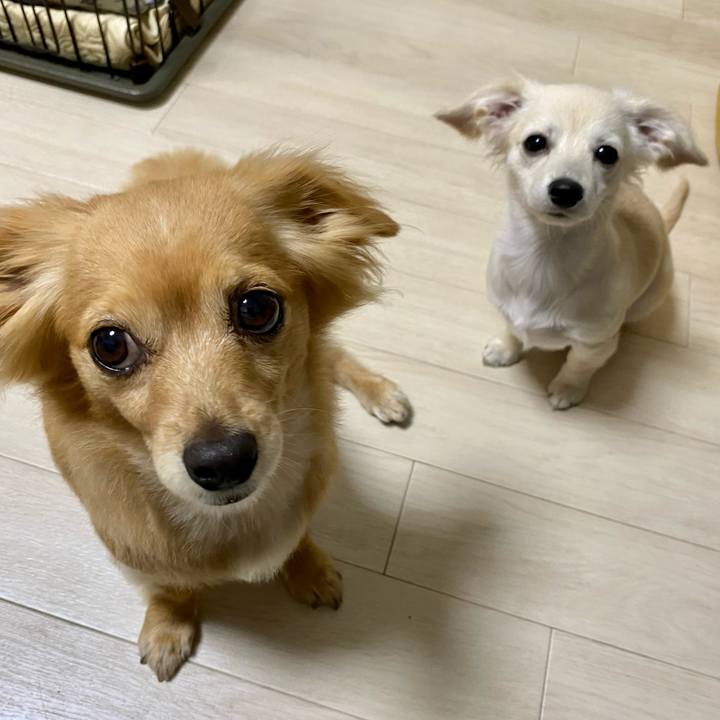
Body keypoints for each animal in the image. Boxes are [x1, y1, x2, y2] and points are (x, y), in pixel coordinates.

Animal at [0, 148, 411, 680]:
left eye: (257, 308)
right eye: (109, 345)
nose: (223, 460)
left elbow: (298, 535)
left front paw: (309, 570)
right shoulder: (136, 551)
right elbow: (171, 586)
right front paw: (169, 626)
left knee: (334, 353)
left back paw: (382, 393)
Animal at [437, 79, 707, 409]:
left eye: (607, 153)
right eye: (535, 142)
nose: (566, 190)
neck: (546, 255)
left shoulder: (594, 344)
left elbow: (578, 365)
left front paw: (567, 389)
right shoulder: (505, 307)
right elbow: (513, 330)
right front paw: (504, 349)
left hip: (650, 297)